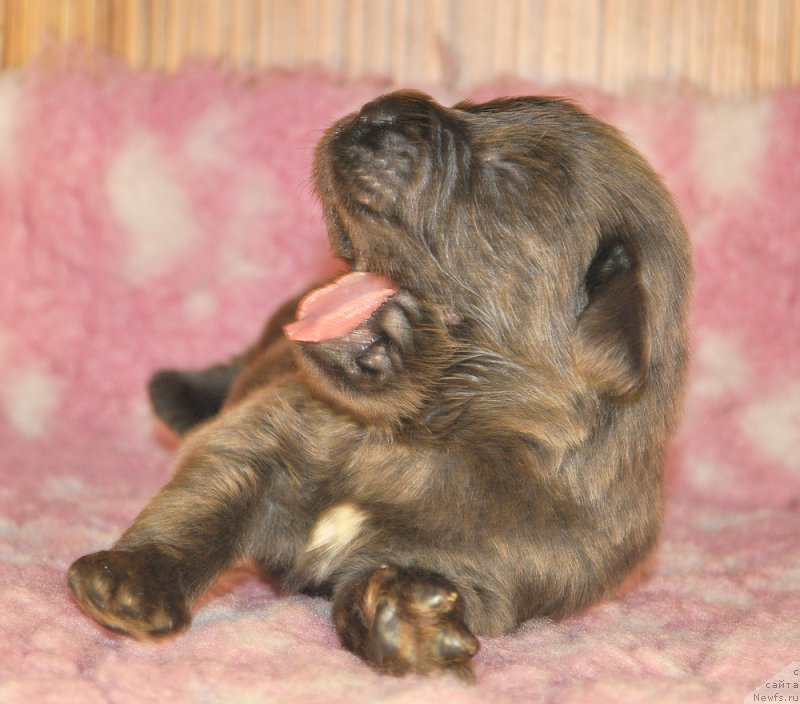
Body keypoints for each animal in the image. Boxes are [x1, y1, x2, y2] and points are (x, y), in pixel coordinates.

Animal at [67, 91, 692, 680]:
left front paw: (411, 623)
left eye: (508, 179)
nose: (378, 108)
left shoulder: (504, 560)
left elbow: (419, 574)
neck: (421, 439)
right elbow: (203, 501)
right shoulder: (258, 432)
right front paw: (133, 578)